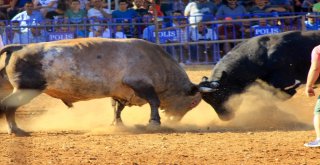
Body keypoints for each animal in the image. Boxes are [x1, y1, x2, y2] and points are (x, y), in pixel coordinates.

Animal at [0, 38, 200, 136]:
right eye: (191, 104)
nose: (175, 121)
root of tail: (18, 47)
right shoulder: (140, 84)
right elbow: (154, 101)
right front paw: (154, 122)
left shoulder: (121, 92)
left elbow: (117, 108)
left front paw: (117, 124)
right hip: (26, 89)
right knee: (8, 105)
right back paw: (14, 130)